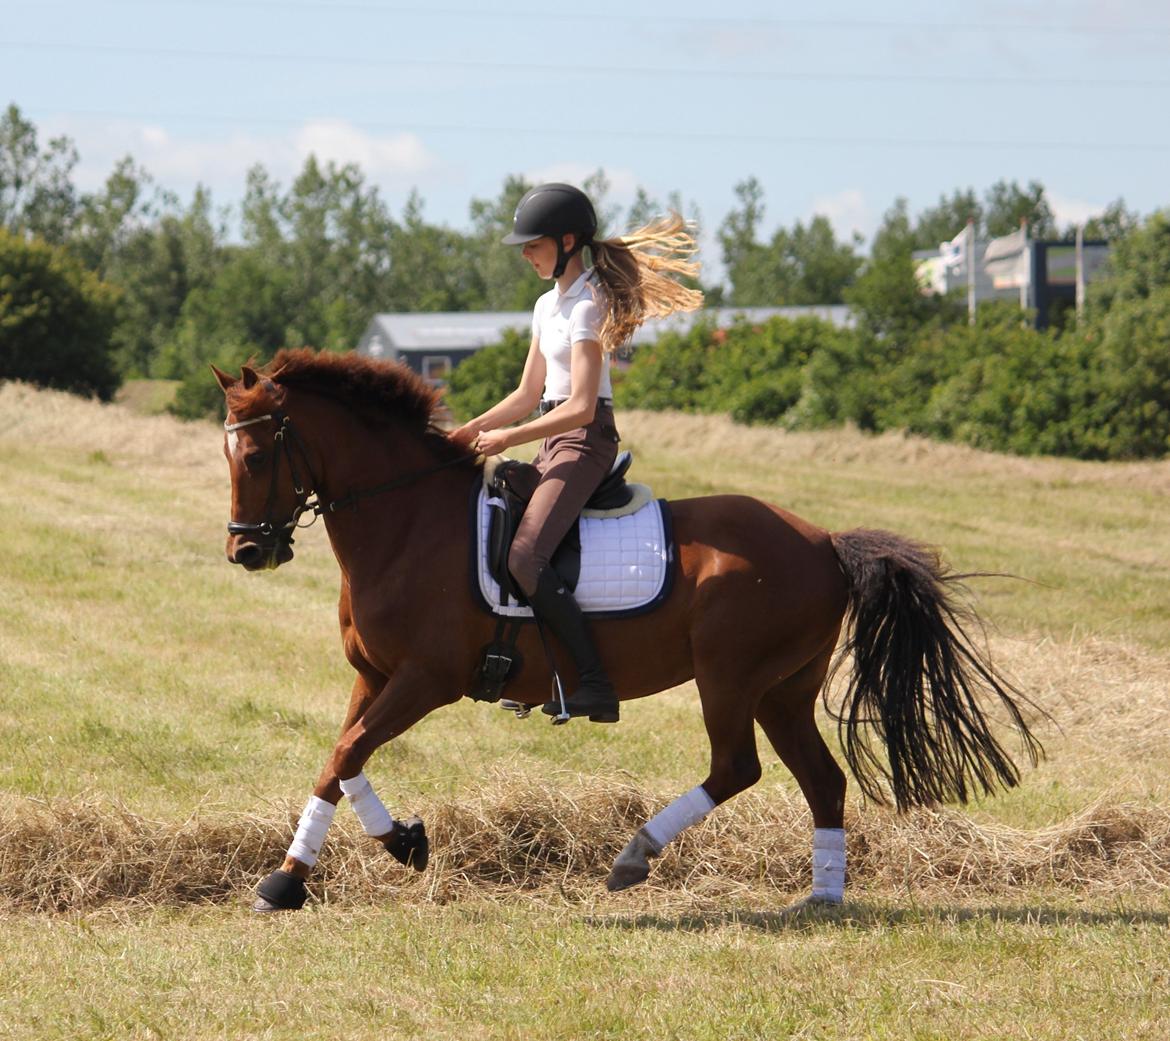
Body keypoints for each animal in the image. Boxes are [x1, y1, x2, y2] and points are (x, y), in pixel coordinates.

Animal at [210, 348, 1043, 907]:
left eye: (255, 451)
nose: (247, 550)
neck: (406, 519)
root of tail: (825, 543)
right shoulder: (375, 675)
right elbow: (337, 758)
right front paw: (299, 874)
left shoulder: (425, 679)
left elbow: (349, 750)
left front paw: (386, 848)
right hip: (782, 689)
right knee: (821, 778)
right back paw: (823, 896)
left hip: (730, 676)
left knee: (736, 768)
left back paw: (634, 856)